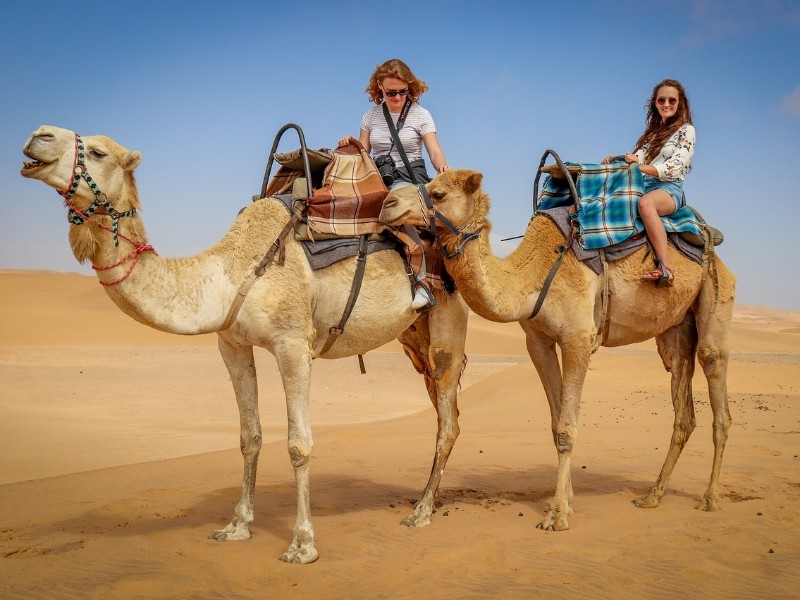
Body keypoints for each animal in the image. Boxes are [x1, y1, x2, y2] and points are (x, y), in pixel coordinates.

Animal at [20, 125, 470, 563]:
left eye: (98, 152)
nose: (38, 135)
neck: (230, 271)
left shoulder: (293, 343)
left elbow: (298, 444)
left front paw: (302, 544)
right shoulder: (232, 345)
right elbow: (248, 436)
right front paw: (236, 526)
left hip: (448, 318)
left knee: (447, 420)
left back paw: (421, 512)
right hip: (414, 336)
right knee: (444, 411)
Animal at [380, 169, 735, 531]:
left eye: (437, 193)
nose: (387, 203)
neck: (531, 275)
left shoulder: (578, 337)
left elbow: (567, 428)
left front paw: (557, 515)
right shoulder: (538, 342)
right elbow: (555, 424)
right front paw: (568, 502)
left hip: (716, 297)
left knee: (715, 377)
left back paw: (710, 498)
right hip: (675, 330)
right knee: (683, 403)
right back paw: (652, 496)